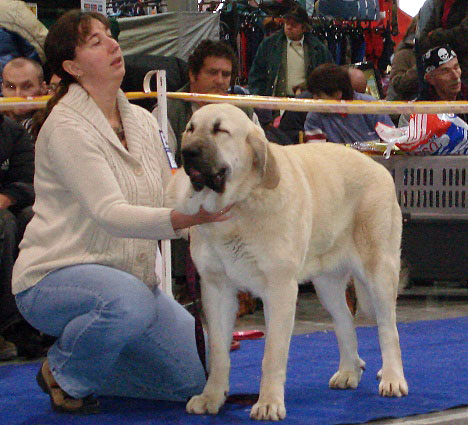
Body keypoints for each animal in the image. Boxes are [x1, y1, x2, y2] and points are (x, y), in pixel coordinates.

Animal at [166, 103, 408, 420]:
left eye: (220, 130)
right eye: (191, 129)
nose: (188, 152)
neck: (238, 206)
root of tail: (378, 168)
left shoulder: (280, 290)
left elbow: (272, 354)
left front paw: (268, 402)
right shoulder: (216, 291)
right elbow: (218, 353)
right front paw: (212, 397)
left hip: (379, 272)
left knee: (388, 328)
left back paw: (392, 378)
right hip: (326, 284)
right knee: (345, 321)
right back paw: (349, 371)